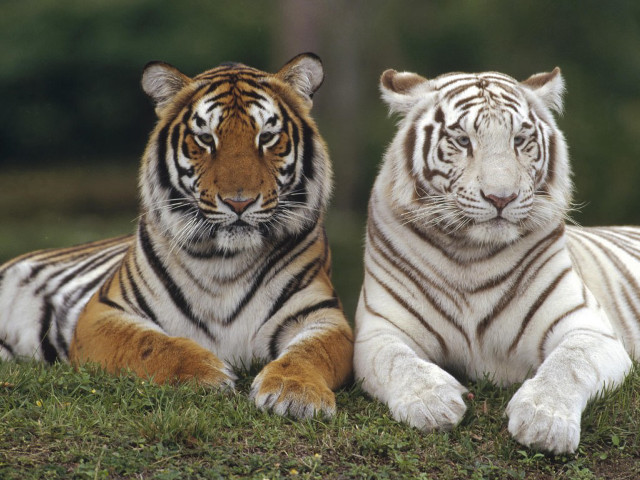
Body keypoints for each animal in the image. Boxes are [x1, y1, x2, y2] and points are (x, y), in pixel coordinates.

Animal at [0, 53, 353, 419]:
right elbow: (149, 344)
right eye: (206, 138)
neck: (225, 260)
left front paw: (295, 392)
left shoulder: (322, 315)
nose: (238, 202)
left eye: (267, 137)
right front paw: (206, 373)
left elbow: (311, 352)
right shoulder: (103, 313)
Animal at [353, 66, 639, 454]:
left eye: (519, 140)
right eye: (462, 140)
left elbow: (569, 363)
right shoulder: (379, 330)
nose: (501, 197)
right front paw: (432, 403)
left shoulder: (589, 327)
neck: (471, 255)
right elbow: (397, 361)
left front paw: (544, 421)